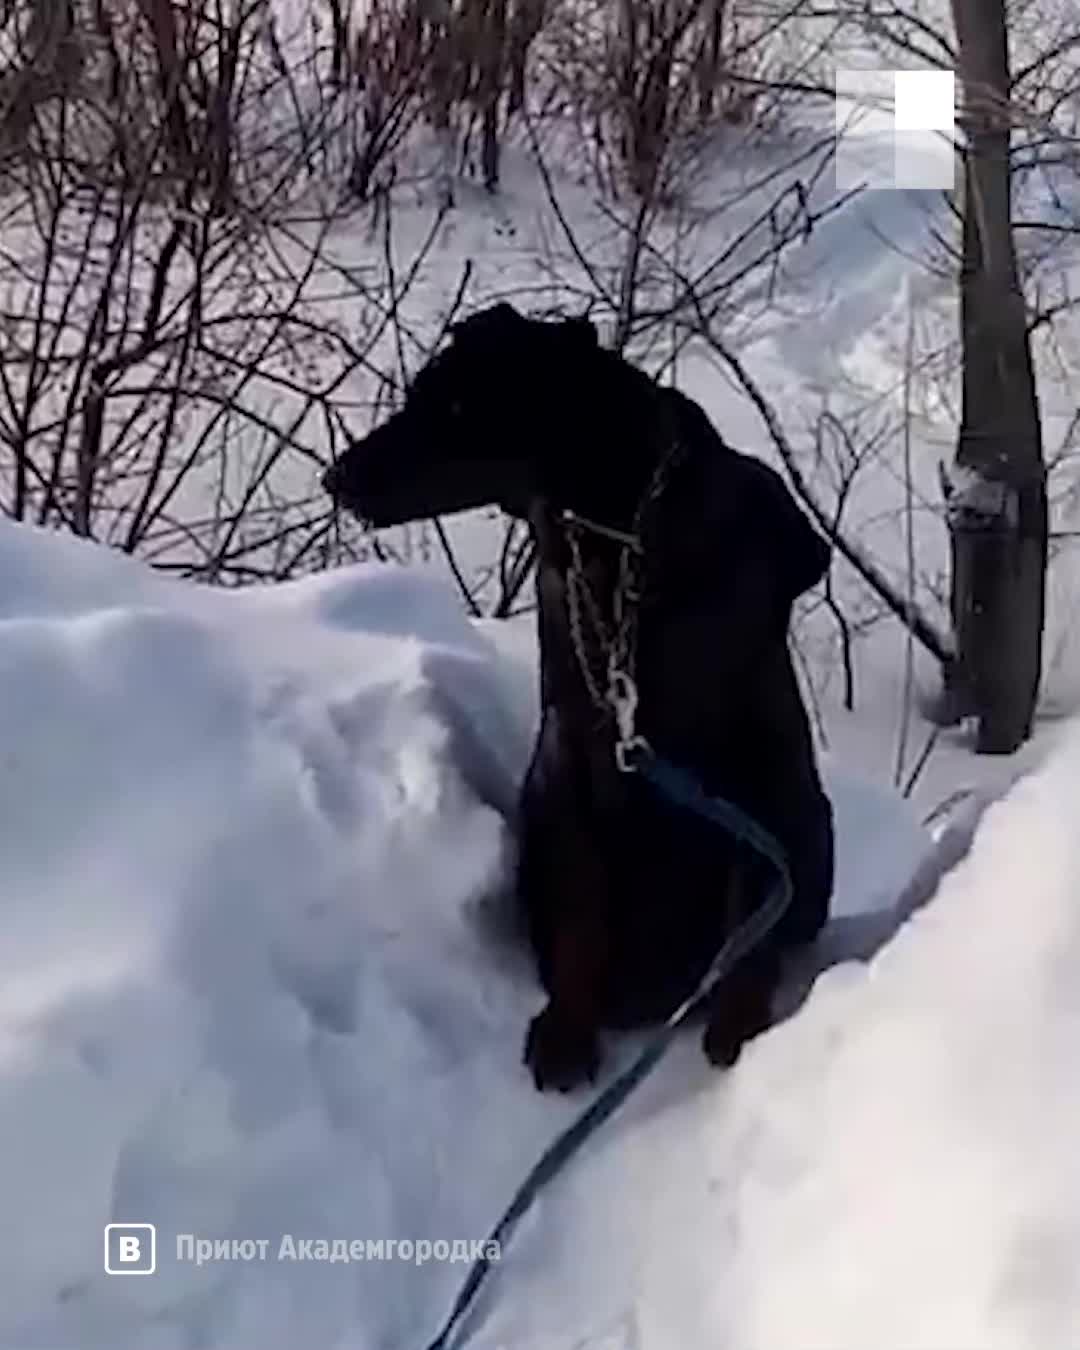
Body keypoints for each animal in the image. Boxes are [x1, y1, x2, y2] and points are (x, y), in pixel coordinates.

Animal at [322, 301, 837, 1090]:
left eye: (458, 405)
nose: (335, 477)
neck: (619, 533)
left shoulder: (749, 755)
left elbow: (749, 909)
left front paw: (741, 1020)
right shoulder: (574, 750)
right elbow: (581, 907)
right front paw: (567, 1028)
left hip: (807, 817)